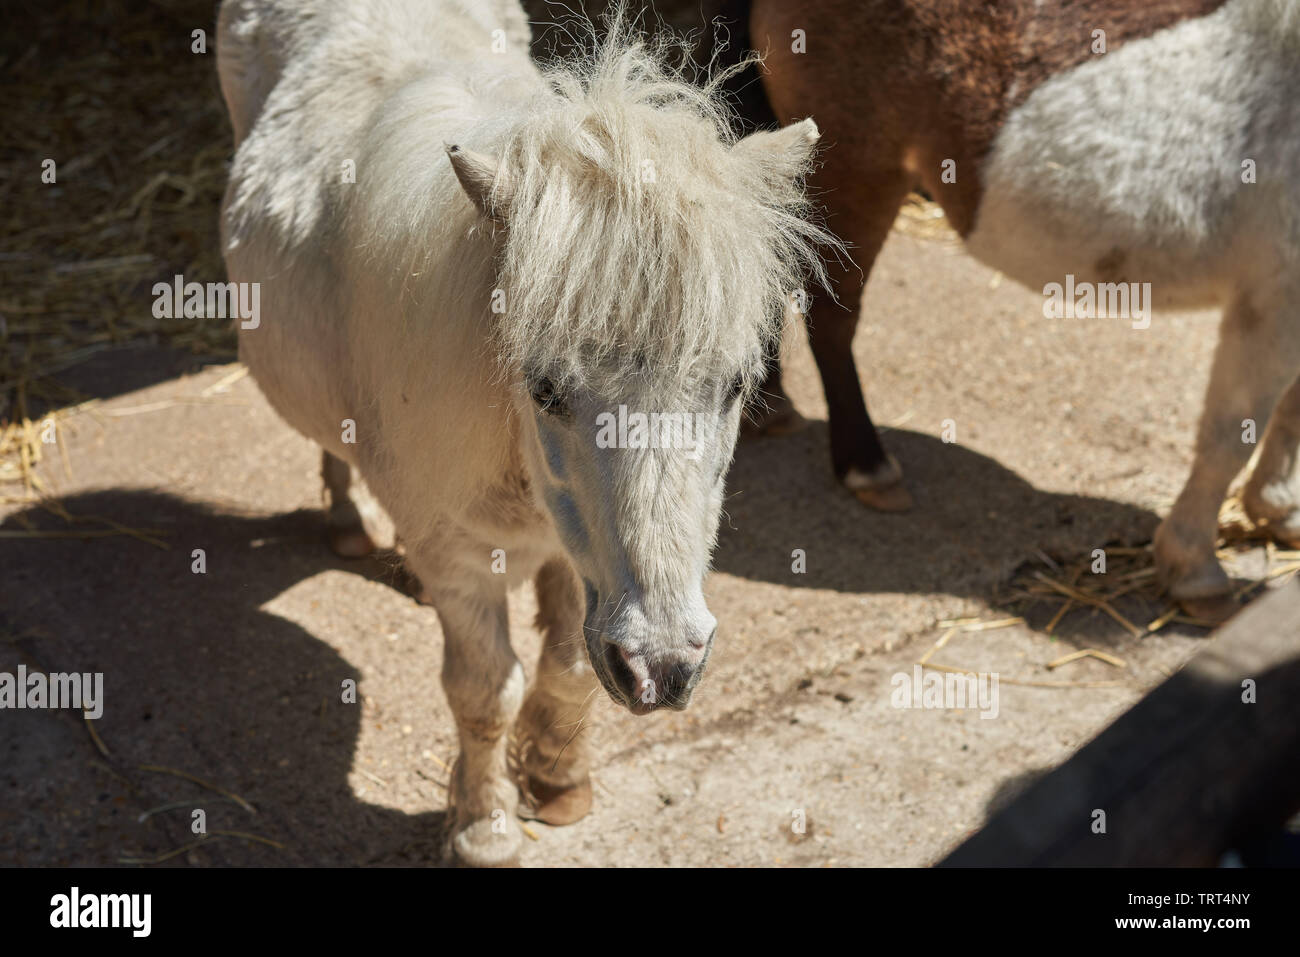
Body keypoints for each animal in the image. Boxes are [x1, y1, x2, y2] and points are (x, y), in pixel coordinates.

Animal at [215, 0, 832, 865]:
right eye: (543, 387)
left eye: (738, 385)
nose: (664, 667)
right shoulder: (458, 558)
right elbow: (485, 689)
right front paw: (485, 827)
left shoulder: (580, 562)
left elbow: (569, 661)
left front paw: (558, 779)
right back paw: (347, 518)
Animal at [744, 0, 1300, 615]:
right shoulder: (1272, 300)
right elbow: (1232, 435)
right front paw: (1195, 569)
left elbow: (1289, 413)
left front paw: (1278, 510)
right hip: (858, 173)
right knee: (832, 319)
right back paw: (867, 467)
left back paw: (770, 408)